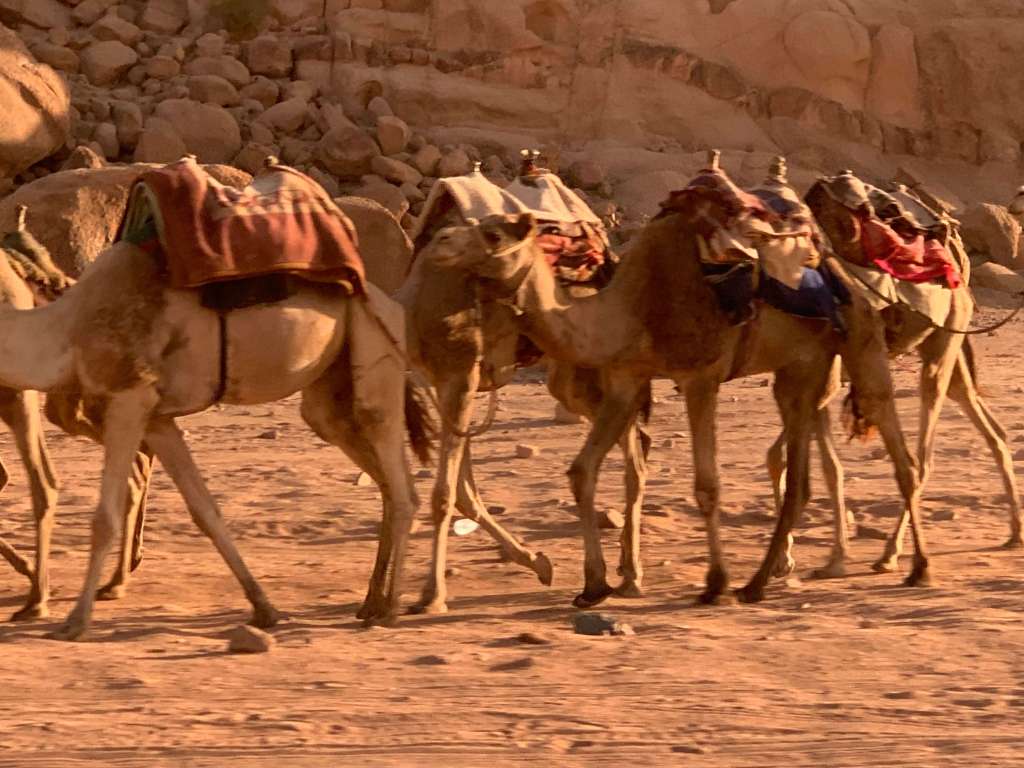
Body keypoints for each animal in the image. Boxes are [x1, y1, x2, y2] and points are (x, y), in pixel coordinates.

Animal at [0, 213, 428, 641]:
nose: (51, 280)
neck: (67, 330)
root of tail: (389, 301)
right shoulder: (158, 419)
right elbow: (205, 511)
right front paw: (264, 608)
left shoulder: (128, 398)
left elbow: (104, 518)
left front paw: (76, 620)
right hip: (330, 389)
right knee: (372, 467)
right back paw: (372, 601)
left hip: (375, 348)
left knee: (399, 479)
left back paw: (391, 608)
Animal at [422, 160, 932, 608]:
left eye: (493, 234)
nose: (440, 241)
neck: (634, 306)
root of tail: (832, 262)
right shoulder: (626, 378)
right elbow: (582, 471)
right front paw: (593, 585)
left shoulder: (700, 376)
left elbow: (707, 485)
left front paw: (713, 584)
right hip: (801, 366)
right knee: (801, 477)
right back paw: (757, 584)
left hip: (860, 338)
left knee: (899, 451)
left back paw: (916, 568)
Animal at [768, 172, 1020, 578]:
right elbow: (790, 459)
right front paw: (787, 557)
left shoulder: (828, 374)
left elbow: (825, 466)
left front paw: (831, 557)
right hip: (949, 351)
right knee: (990, 427)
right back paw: (1014, 533)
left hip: (942, 345)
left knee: (923, 455)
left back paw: (890, 554)